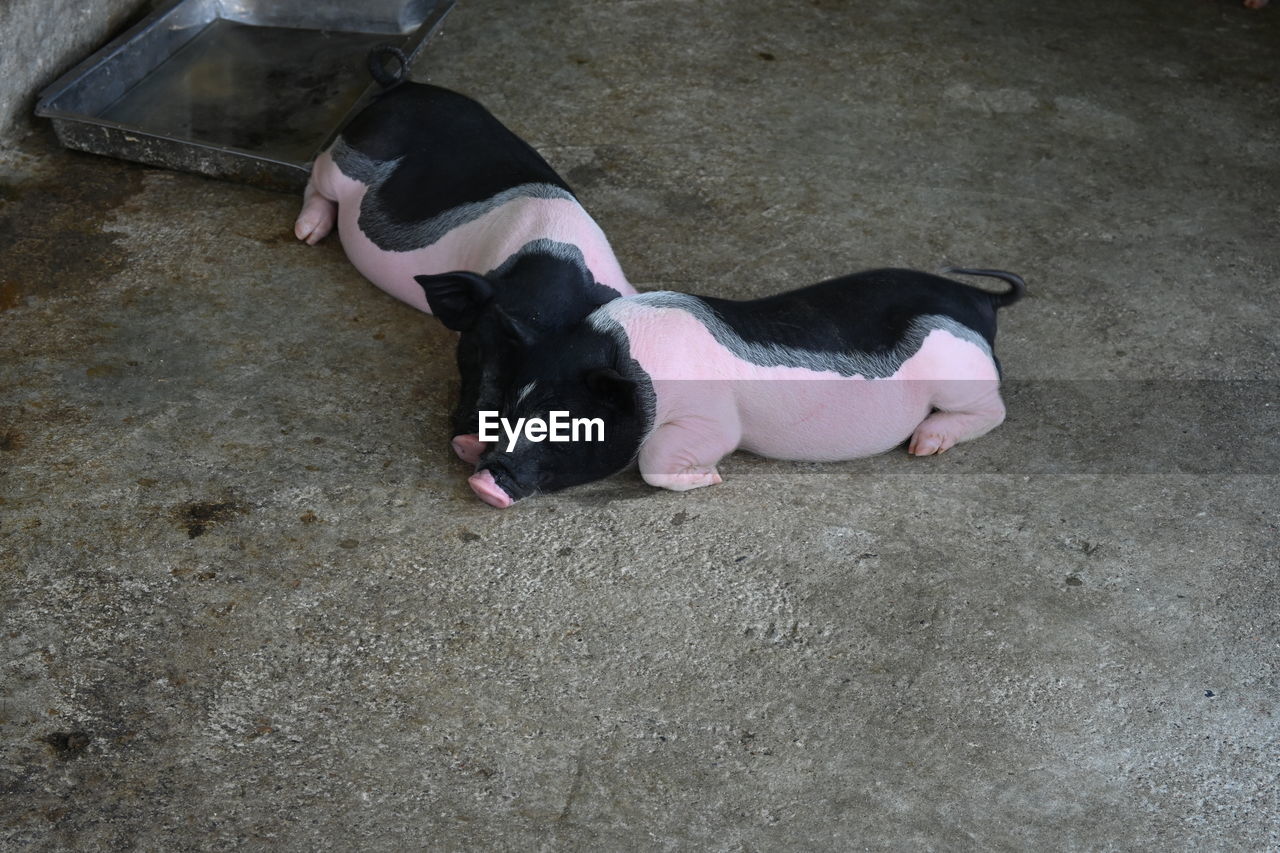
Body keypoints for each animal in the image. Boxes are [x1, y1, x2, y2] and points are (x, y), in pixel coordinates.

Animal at [290, 47, 629, 461]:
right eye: (473, 348)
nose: (470, 442)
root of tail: (403, 85)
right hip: (344, 159)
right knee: (314, 177)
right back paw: (307, 233)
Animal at [460, 266, 1029, 504]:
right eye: (509, 411)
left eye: (564, 424)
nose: (484, 481)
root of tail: (977, 299)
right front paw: (467, 444)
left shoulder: (711, 420)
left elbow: (657, 457)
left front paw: (712, 478)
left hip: (958, 370)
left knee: (996, 410)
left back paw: (924, 444)